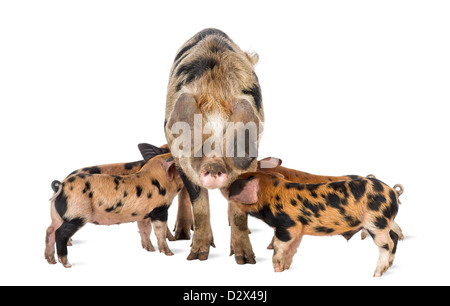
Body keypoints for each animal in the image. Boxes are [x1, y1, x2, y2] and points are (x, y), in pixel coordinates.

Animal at [164, 28, 264, 262]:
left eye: (231, 143)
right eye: (199, 143)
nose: (214, 165)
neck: (214, 95)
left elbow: (239, 213)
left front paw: (245, 260)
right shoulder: (181, 160)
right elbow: (200, 206)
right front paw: (197, 256)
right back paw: (182, 235)